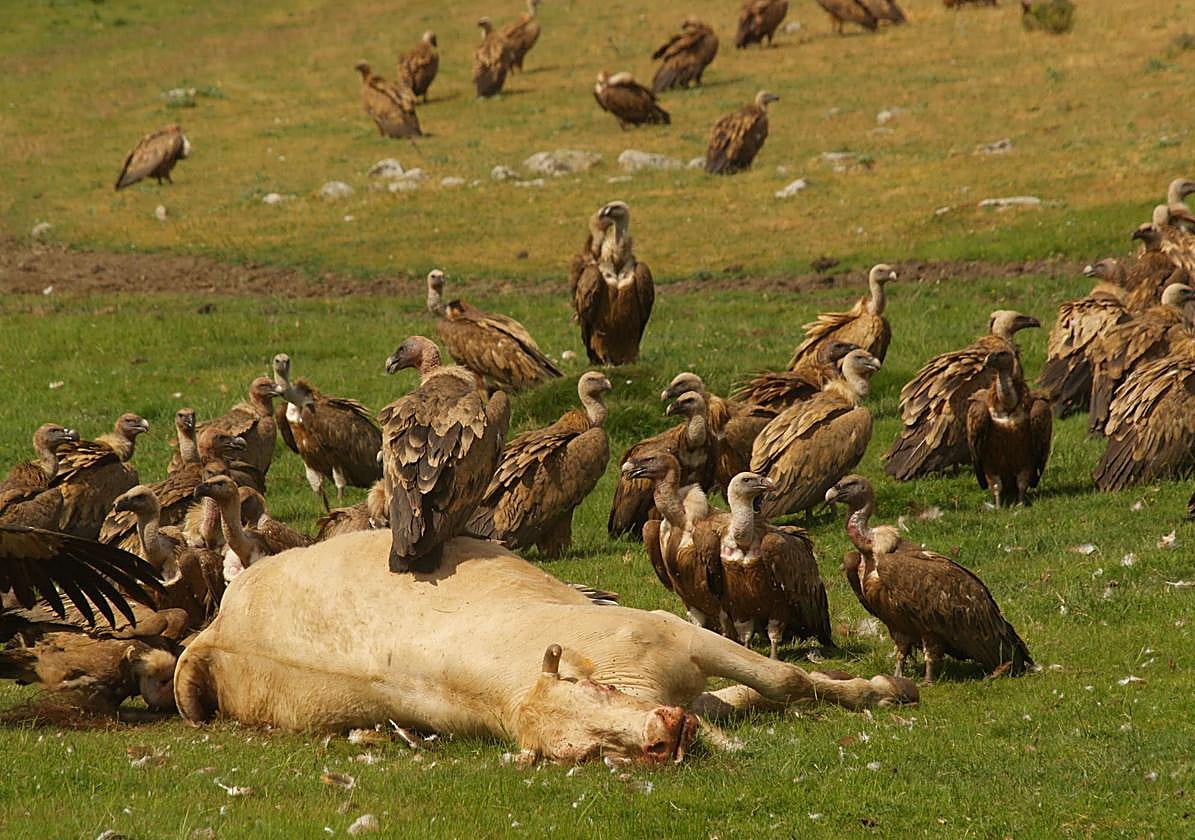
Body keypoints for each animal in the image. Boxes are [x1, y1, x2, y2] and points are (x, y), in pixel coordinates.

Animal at [175, 532, 917, 764]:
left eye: (596, 688)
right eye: (585, 753)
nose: (663, 736)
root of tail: (212, 632)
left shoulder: (674, 629)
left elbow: (784, 680)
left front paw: (881, 689)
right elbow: (745, 700)